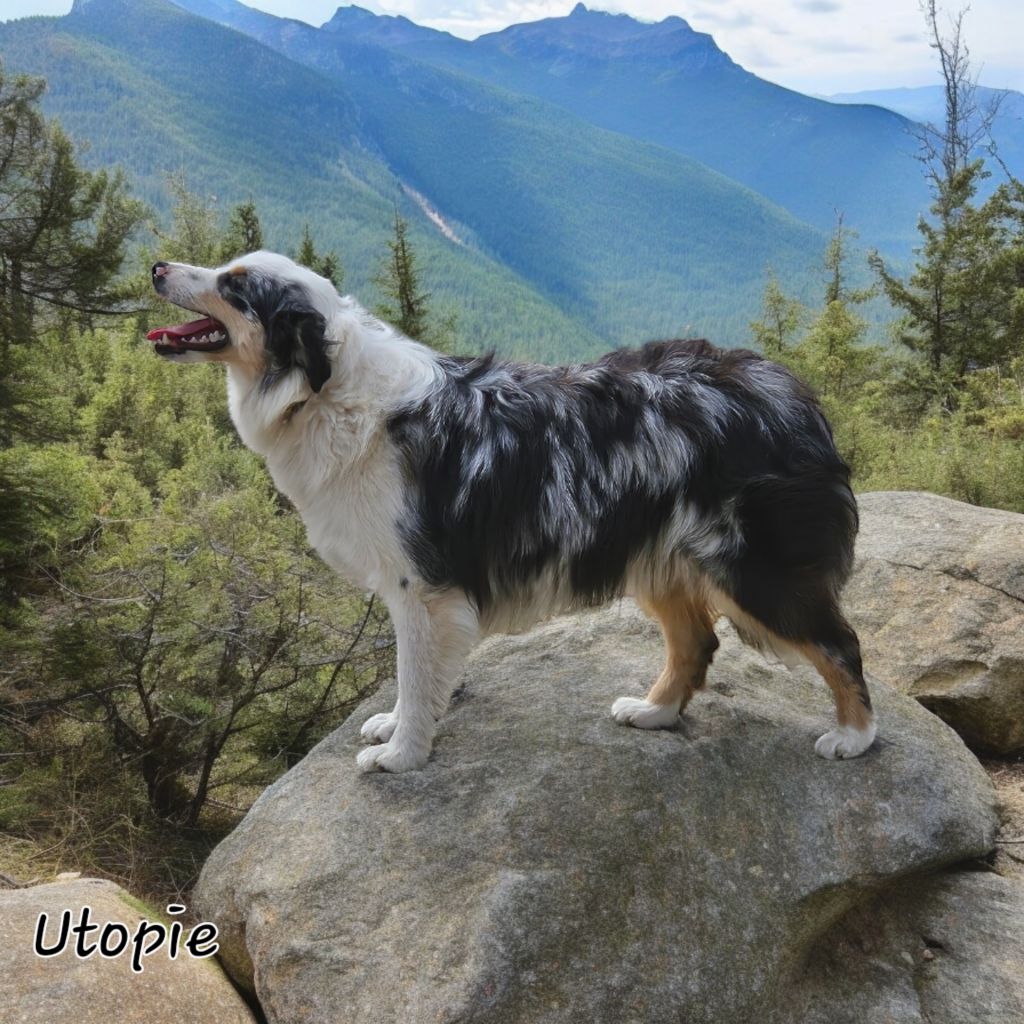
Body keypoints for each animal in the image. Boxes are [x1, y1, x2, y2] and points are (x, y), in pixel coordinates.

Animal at [148, 251, 876, 770]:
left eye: (236, 287)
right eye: (227, 269)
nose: (156, 267)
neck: (324, 390)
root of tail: (793, 394)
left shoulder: (422, 583)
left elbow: (415, 672)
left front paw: (403, 753)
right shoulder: (422, 588)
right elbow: (421, 676)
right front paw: (405, 724)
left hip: (754, 570)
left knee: (840, 644)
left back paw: (855, 737)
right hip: (658, 554)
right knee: (698, 641)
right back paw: (654, 713)